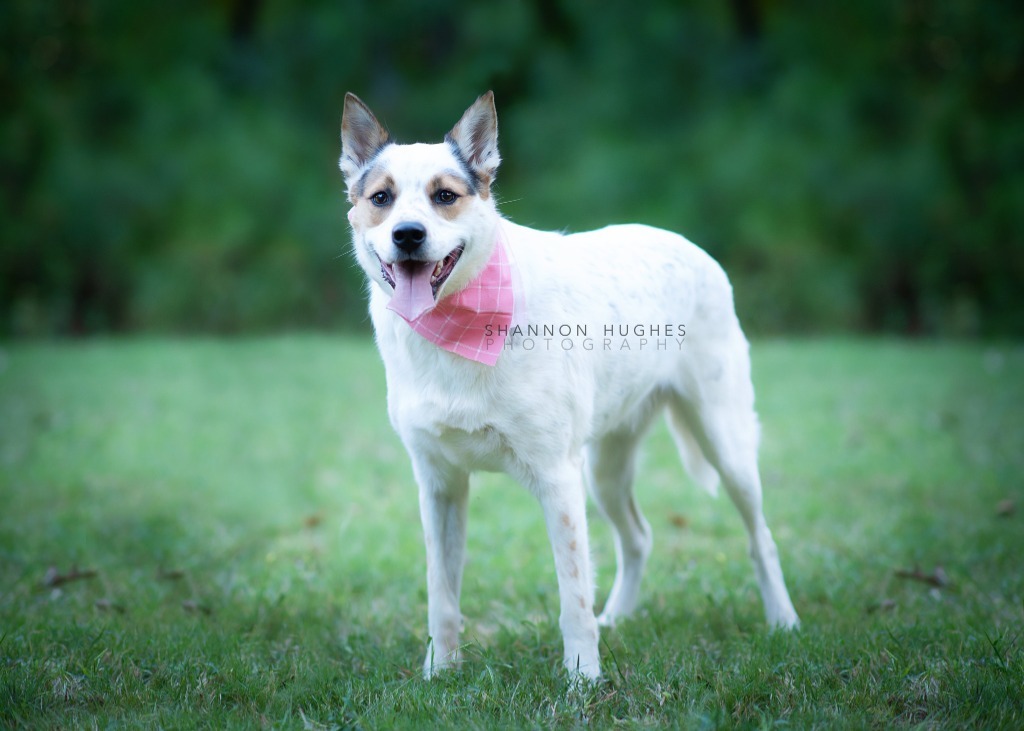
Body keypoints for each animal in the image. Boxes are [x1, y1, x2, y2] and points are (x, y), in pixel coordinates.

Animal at [337, 89, 798, 675]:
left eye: (444, 196)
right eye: (381, 197)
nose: (408, 235)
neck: (458, 330)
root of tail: (688, 245)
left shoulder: (557, 477)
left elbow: (572, 596)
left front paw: (583, 678)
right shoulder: (439, 484)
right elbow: (441, 593)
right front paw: (439, 671)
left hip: (725, 444)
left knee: (762, 539)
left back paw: (784, 622)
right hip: (604, 469)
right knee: (639, 538)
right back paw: (618, 618)